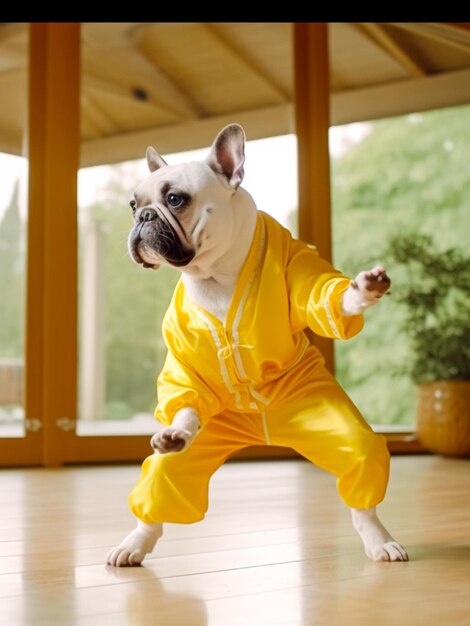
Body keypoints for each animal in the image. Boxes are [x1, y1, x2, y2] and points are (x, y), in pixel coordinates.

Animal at [106, 123, 408, 564]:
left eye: (175, 199)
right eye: (133, 204)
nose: (142, 216)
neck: (214, 271)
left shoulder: (299, 269)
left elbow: (324, 297)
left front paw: (359, 293)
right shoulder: (183, 353)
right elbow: (185, 393)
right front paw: (177, 431)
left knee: (362, 464)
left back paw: (378, 538)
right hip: (210, 429)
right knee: (163, 485)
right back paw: (134, 543)